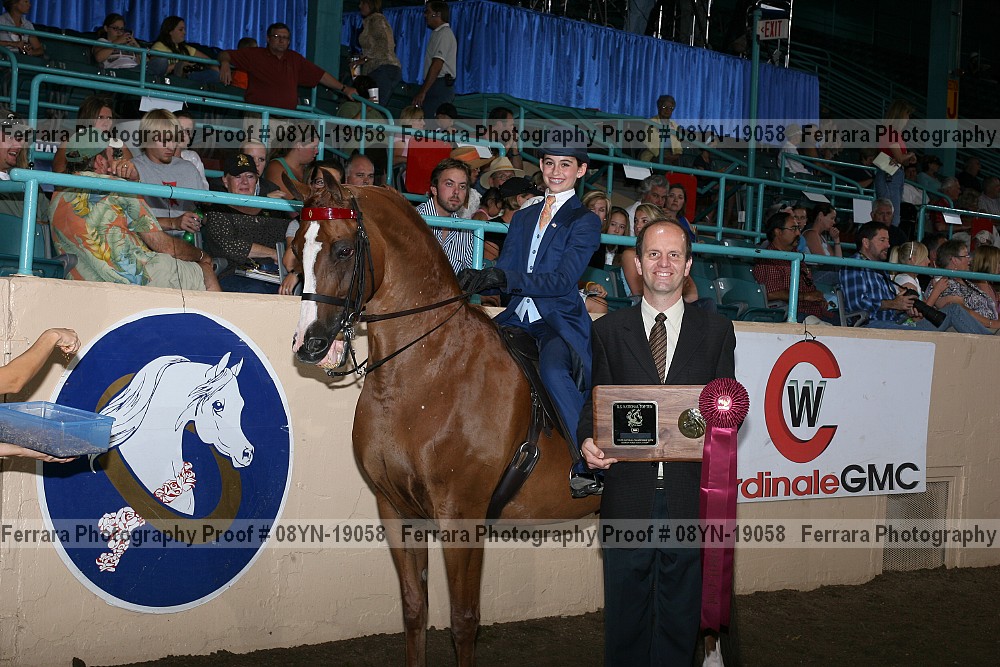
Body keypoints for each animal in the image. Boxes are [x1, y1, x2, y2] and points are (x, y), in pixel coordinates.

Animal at [290, 182, 601, 666]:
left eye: (343, 250)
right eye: (294, 248)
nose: (310, 345)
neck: (430, 369)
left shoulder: (462, 515)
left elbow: (464, 621)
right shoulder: (395, 509)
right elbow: (414, 610)